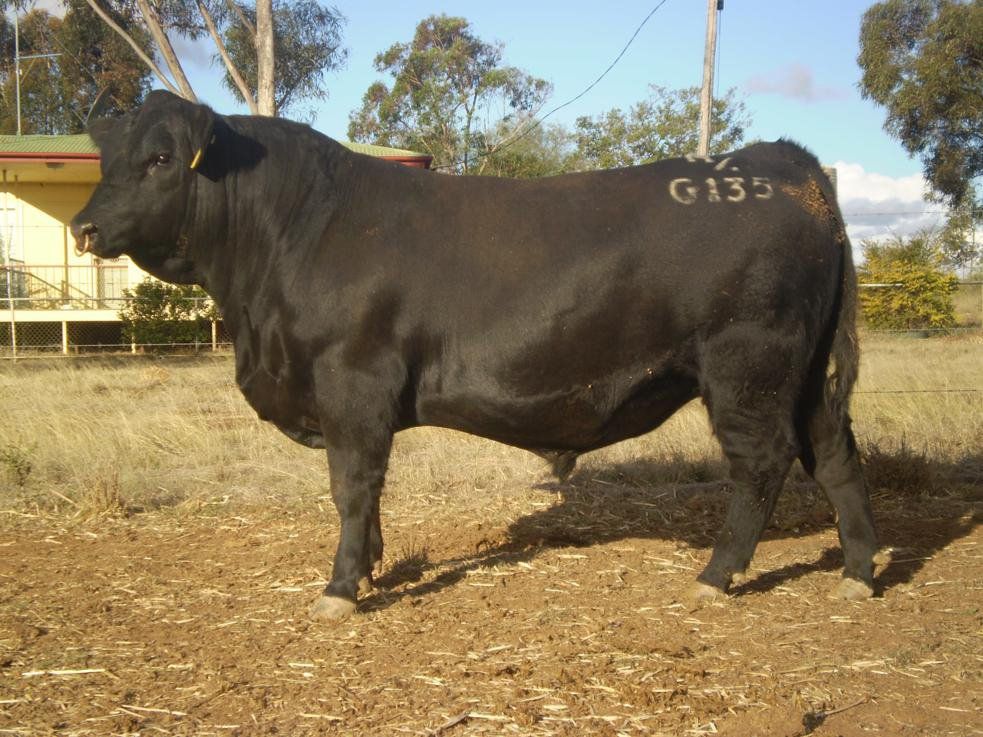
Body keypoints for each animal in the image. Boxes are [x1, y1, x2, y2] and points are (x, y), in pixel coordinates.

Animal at [71, 90, 878, 621]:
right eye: (108, 157)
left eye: (160, 157)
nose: (82, 227)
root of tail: (780, 163)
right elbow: (369, 494)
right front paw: (372, 569)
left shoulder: (351, 381)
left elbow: (351, 487)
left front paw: (341, 589)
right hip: (804, 375)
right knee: (837, 456)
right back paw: (861, 572)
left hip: (748, 365)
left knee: (762, 465)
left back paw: (716, 574)